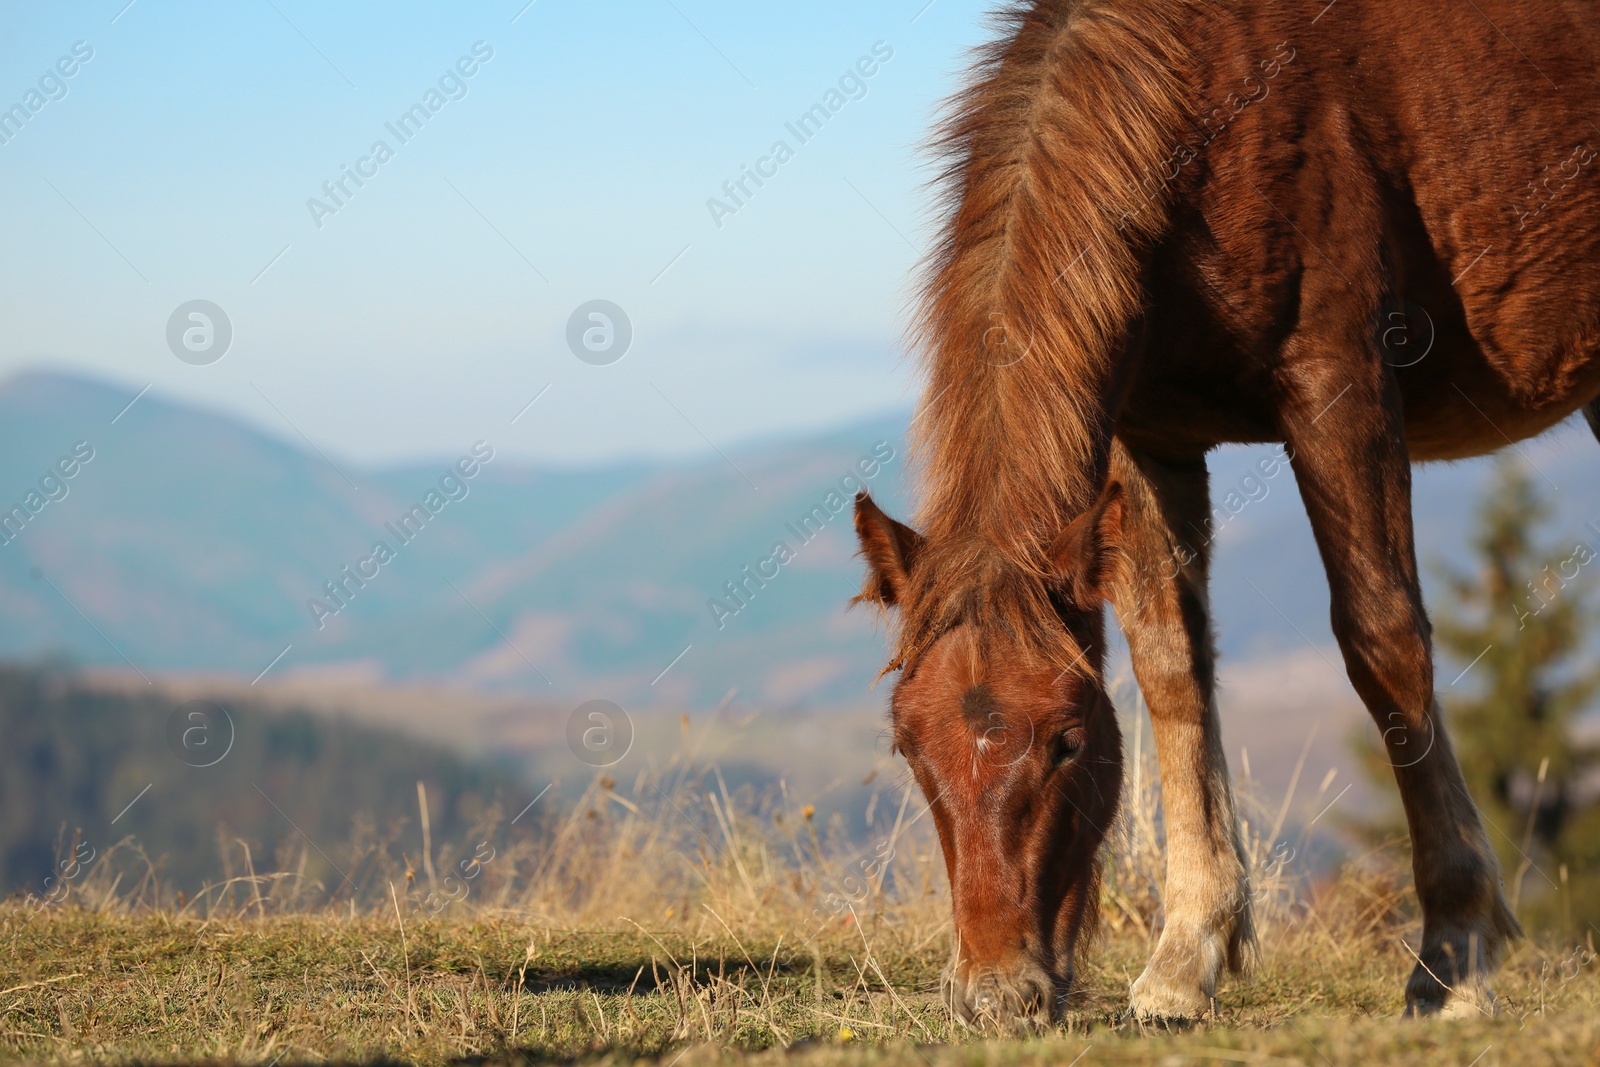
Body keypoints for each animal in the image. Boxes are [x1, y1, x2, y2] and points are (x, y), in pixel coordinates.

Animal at [851, 0, 1600, 1030]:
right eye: (905, 742)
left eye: (1068, 739)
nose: (996, 995)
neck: (1206, 114)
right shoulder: (1146, 437)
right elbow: (1172, 666)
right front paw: (1185, 957)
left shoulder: (1339, 384)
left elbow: (1384, 644)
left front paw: (1453, 953)